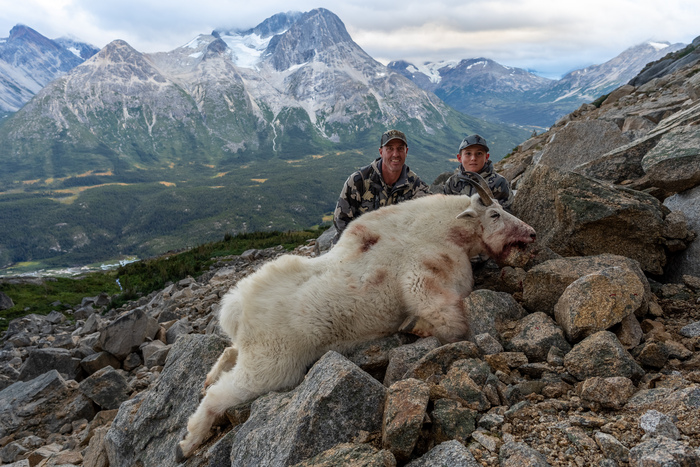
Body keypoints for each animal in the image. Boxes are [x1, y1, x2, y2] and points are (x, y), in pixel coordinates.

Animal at [176, 173, 536, 459]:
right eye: (495, 213)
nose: (531, 233)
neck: (444, 231)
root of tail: (237, 310)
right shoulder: (422, 280)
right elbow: (450, 321)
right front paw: (433, 333)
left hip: (252, 353)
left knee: (228, 352)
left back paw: (207, 378)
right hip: (272, 366)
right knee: (218, 394)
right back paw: (187, 443)